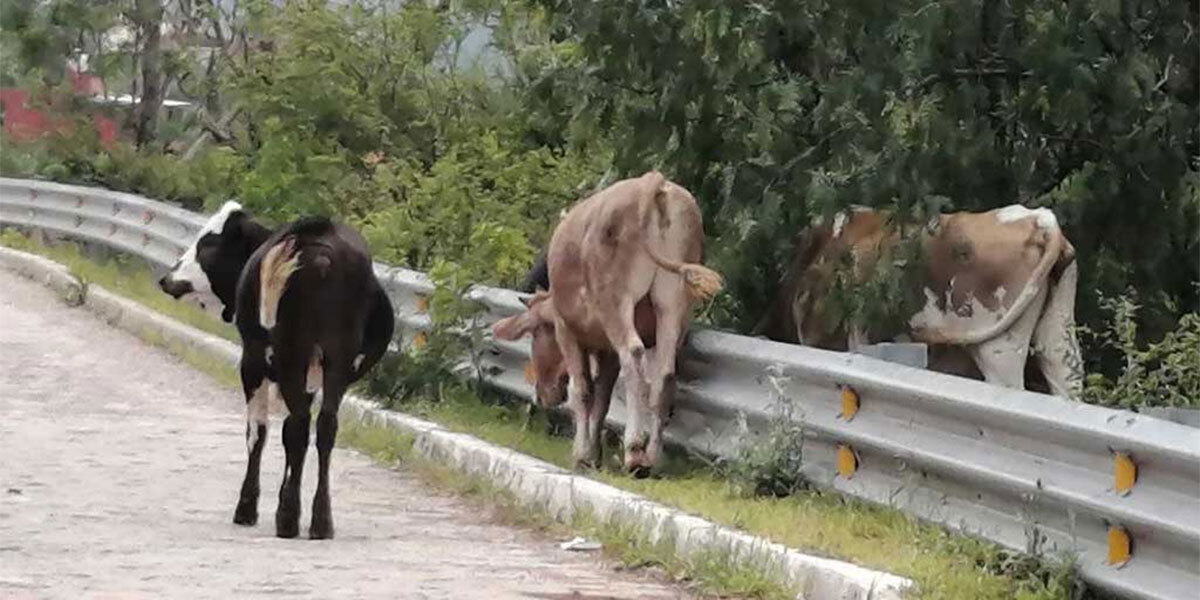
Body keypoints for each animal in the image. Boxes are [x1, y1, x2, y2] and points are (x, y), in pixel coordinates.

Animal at [158, 200, 393, 540]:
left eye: (207, 244)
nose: (167, 278)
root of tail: (313, 239)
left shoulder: (252, 364)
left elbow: (258, 431)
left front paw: (247, 508)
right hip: (335, 358)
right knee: (324, 425)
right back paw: (320, 522)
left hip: (289, 354)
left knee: (298, 425)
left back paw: (288, 519)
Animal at [489, 171, 715, 475]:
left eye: (536, 333)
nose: (541, 394)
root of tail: (653, 181)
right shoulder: (607, 350)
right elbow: (602, 397)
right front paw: (594, 452)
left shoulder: (567, 331)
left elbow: (583, 390)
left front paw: (582, 453)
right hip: (674, 305)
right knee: (664, 374)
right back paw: (652, 457)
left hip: (616, 303)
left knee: (633, 354)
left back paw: (634, 451)